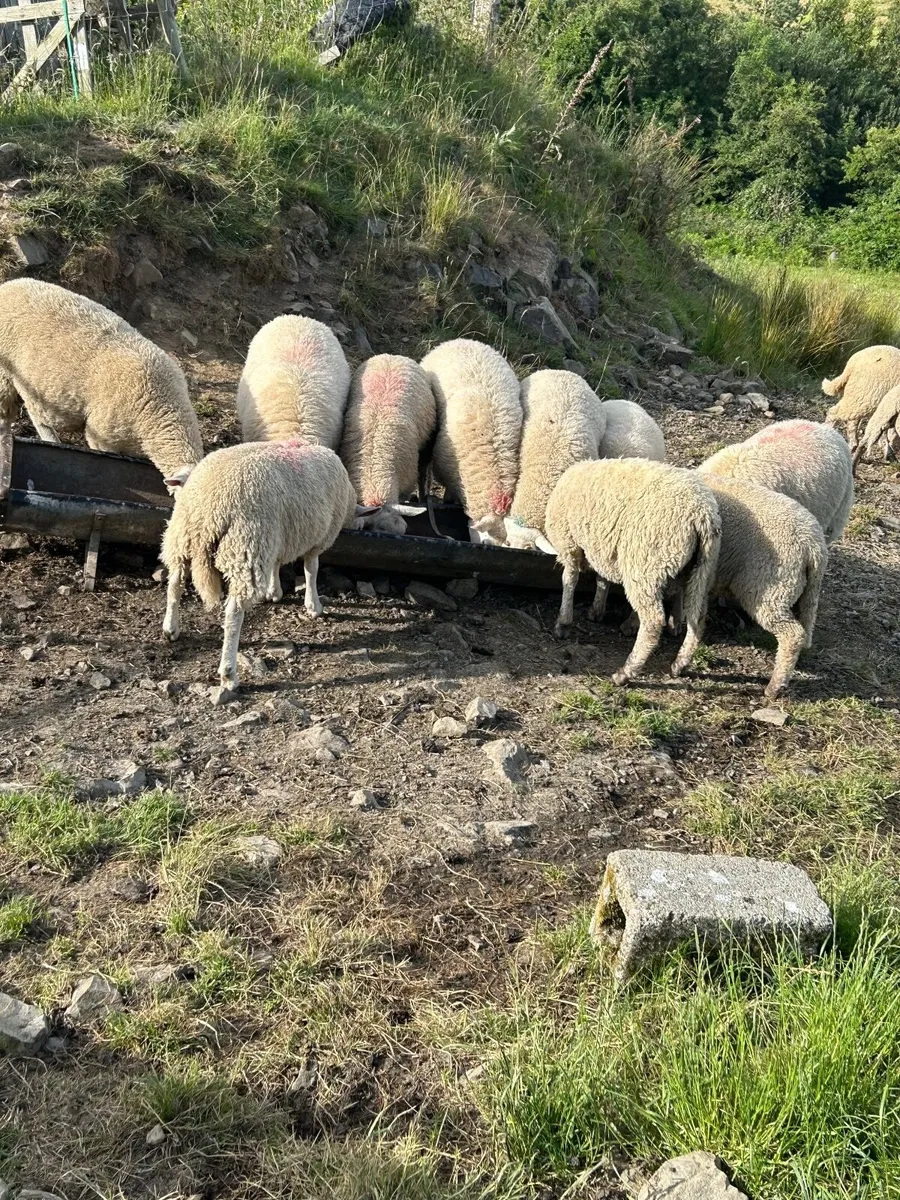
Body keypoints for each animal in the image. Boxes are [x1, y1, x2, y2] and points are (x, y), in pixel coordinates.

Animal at [161, 438, 377, 692]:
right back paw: (229, 674)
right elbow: (311, 569)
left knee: (174, 585)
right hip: (247, 546)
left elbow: (277, 563)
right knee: (233, 612)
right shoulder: (317, 539)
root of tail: (207, 511)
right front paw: (313, 606)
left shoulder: (279, 536)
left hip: (180, 540)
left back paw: (170, 629)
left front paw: (274, 592)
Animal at [538, 458, 721, 685]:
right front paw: (596, 610)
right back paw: (679, 664)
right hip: (699, 569)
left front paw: (563, 623)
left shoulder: (569, 542)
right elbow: (602, 579)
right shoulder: (602, 546)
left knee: (653, 620)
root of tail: (702, 516)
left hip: (646, 562)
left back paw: (625, 672)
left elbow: (569, 580)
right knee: (697, 617)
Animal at [703, 479, 828, 699]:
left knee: (792, 634)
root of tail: (814, 546)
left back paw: (775, 686)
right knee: (805, 628)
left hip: (769, 590)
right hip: (805, 593)